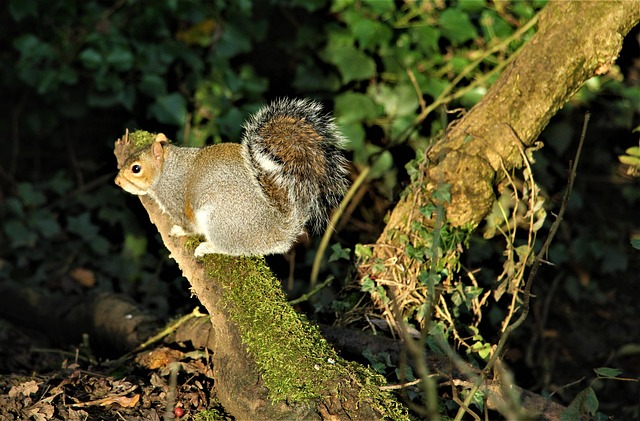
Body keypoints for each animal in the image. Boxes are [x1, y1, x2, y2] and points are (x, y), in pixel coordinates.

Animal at [115, 98, 350, 257]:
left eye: (136, 168)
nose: (117, 181)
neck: (168, 169)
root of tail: (277, 231)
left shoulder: (177, 202)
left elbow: (187, 226)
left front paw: (179, 230)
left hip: (220, 221)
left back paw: (207, 246)